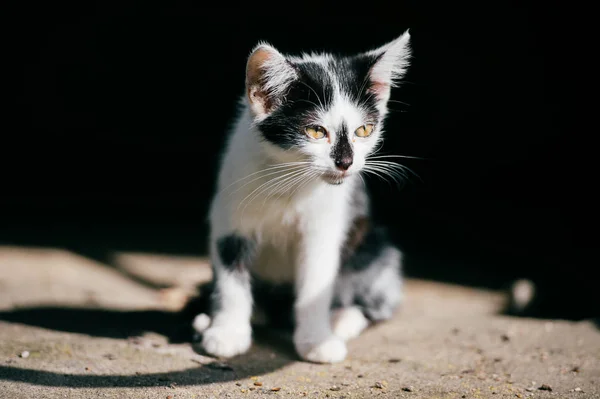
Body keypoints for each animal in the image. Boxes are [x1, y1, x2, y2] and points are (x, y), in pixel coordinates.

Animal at [197, 30, 412, 362]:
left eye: (364, 130)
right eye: (315, 131)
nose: (345, 162)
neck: (289, 180)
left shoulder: (326, 225)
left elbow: (316, 283)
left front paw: (317, 341)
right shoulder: (229, 215)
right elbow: (230, 277)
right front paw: (227, 332)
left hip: (375, 247)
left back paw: (343, 318)